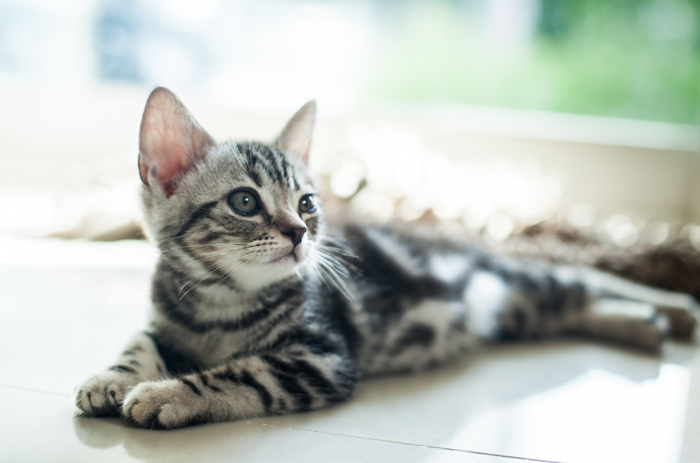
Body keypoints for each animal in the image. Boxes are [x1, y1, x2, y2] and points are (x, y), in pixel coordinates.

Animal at [74, 88, 696, 432]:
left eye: (306, 203)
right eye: (245, 202)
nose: (300, 233)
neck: (220, 302)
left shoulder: (319, 358)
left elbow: (239, 373)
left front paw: (167, 394)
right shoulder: (166, 321)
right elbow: (140, 342)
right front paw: (112, 377)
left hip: (515, 278)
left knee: (582, 274)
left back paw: (672, 308)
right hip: (517, 310)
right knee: (567, 304)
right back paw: (641, 324)